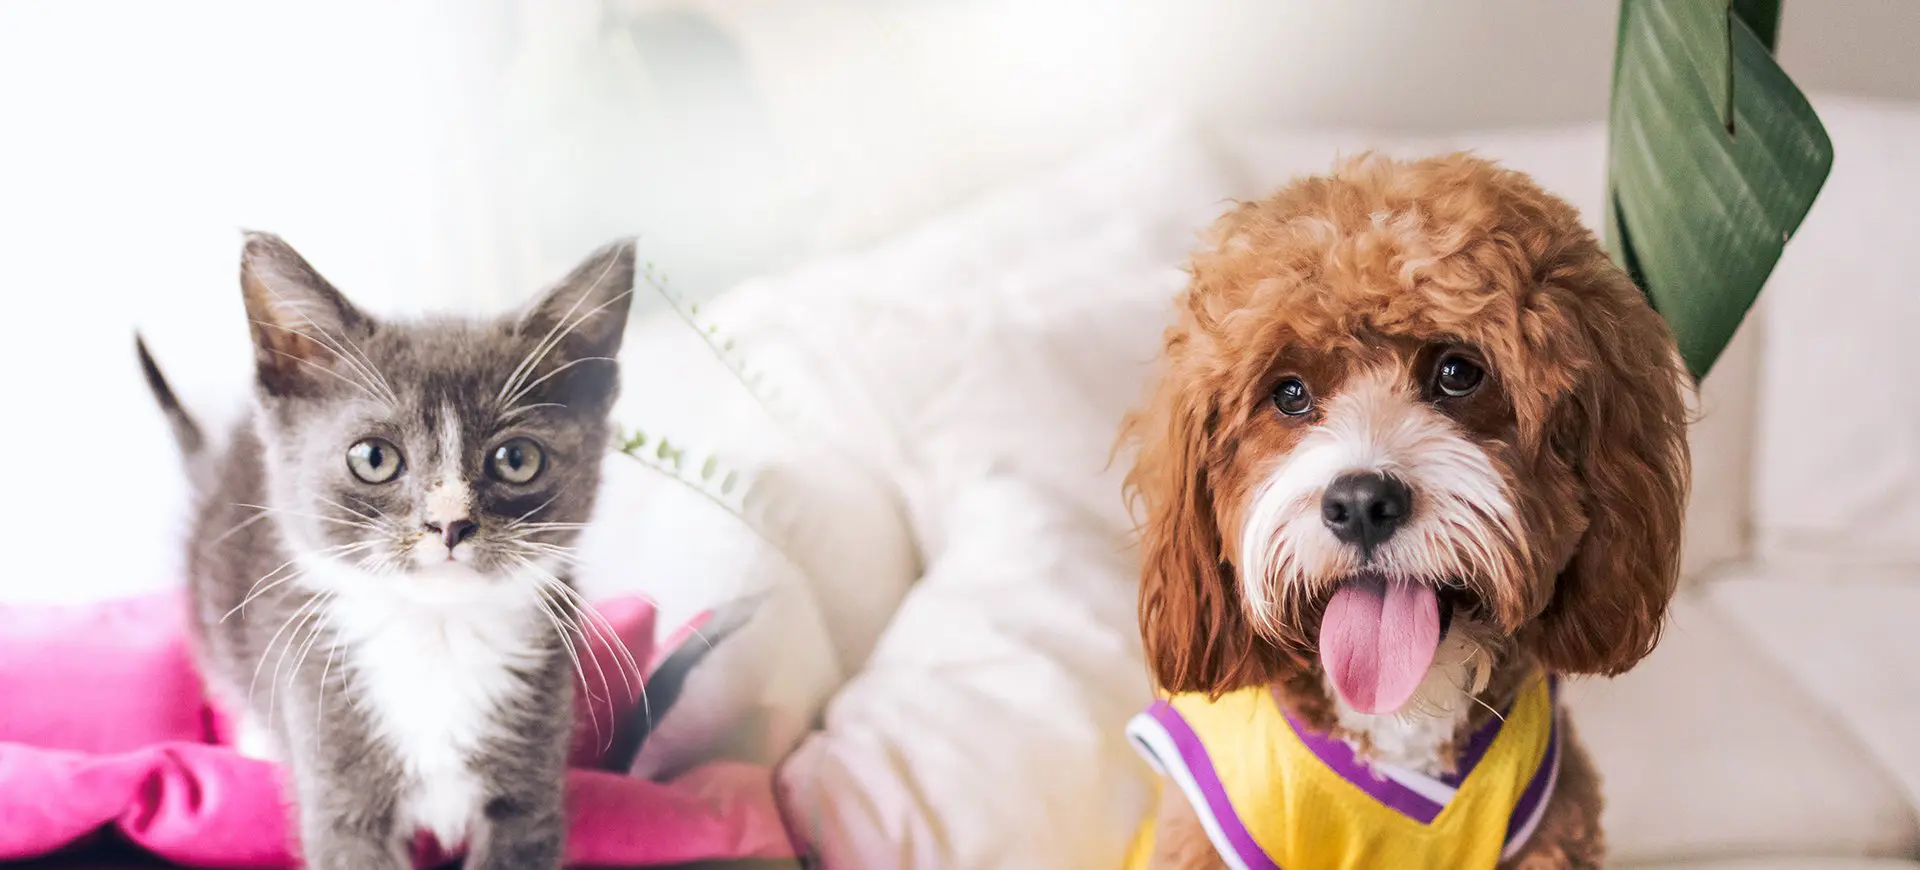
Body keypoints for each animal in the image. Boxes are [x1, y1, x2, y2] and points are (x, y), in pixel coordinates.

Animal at [144, 232, 637, 868]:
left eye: (517, 459)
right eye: (374, 458)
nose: (449, 524)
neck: (437, 634)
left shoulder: (528, 795)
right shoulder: (336, 778)